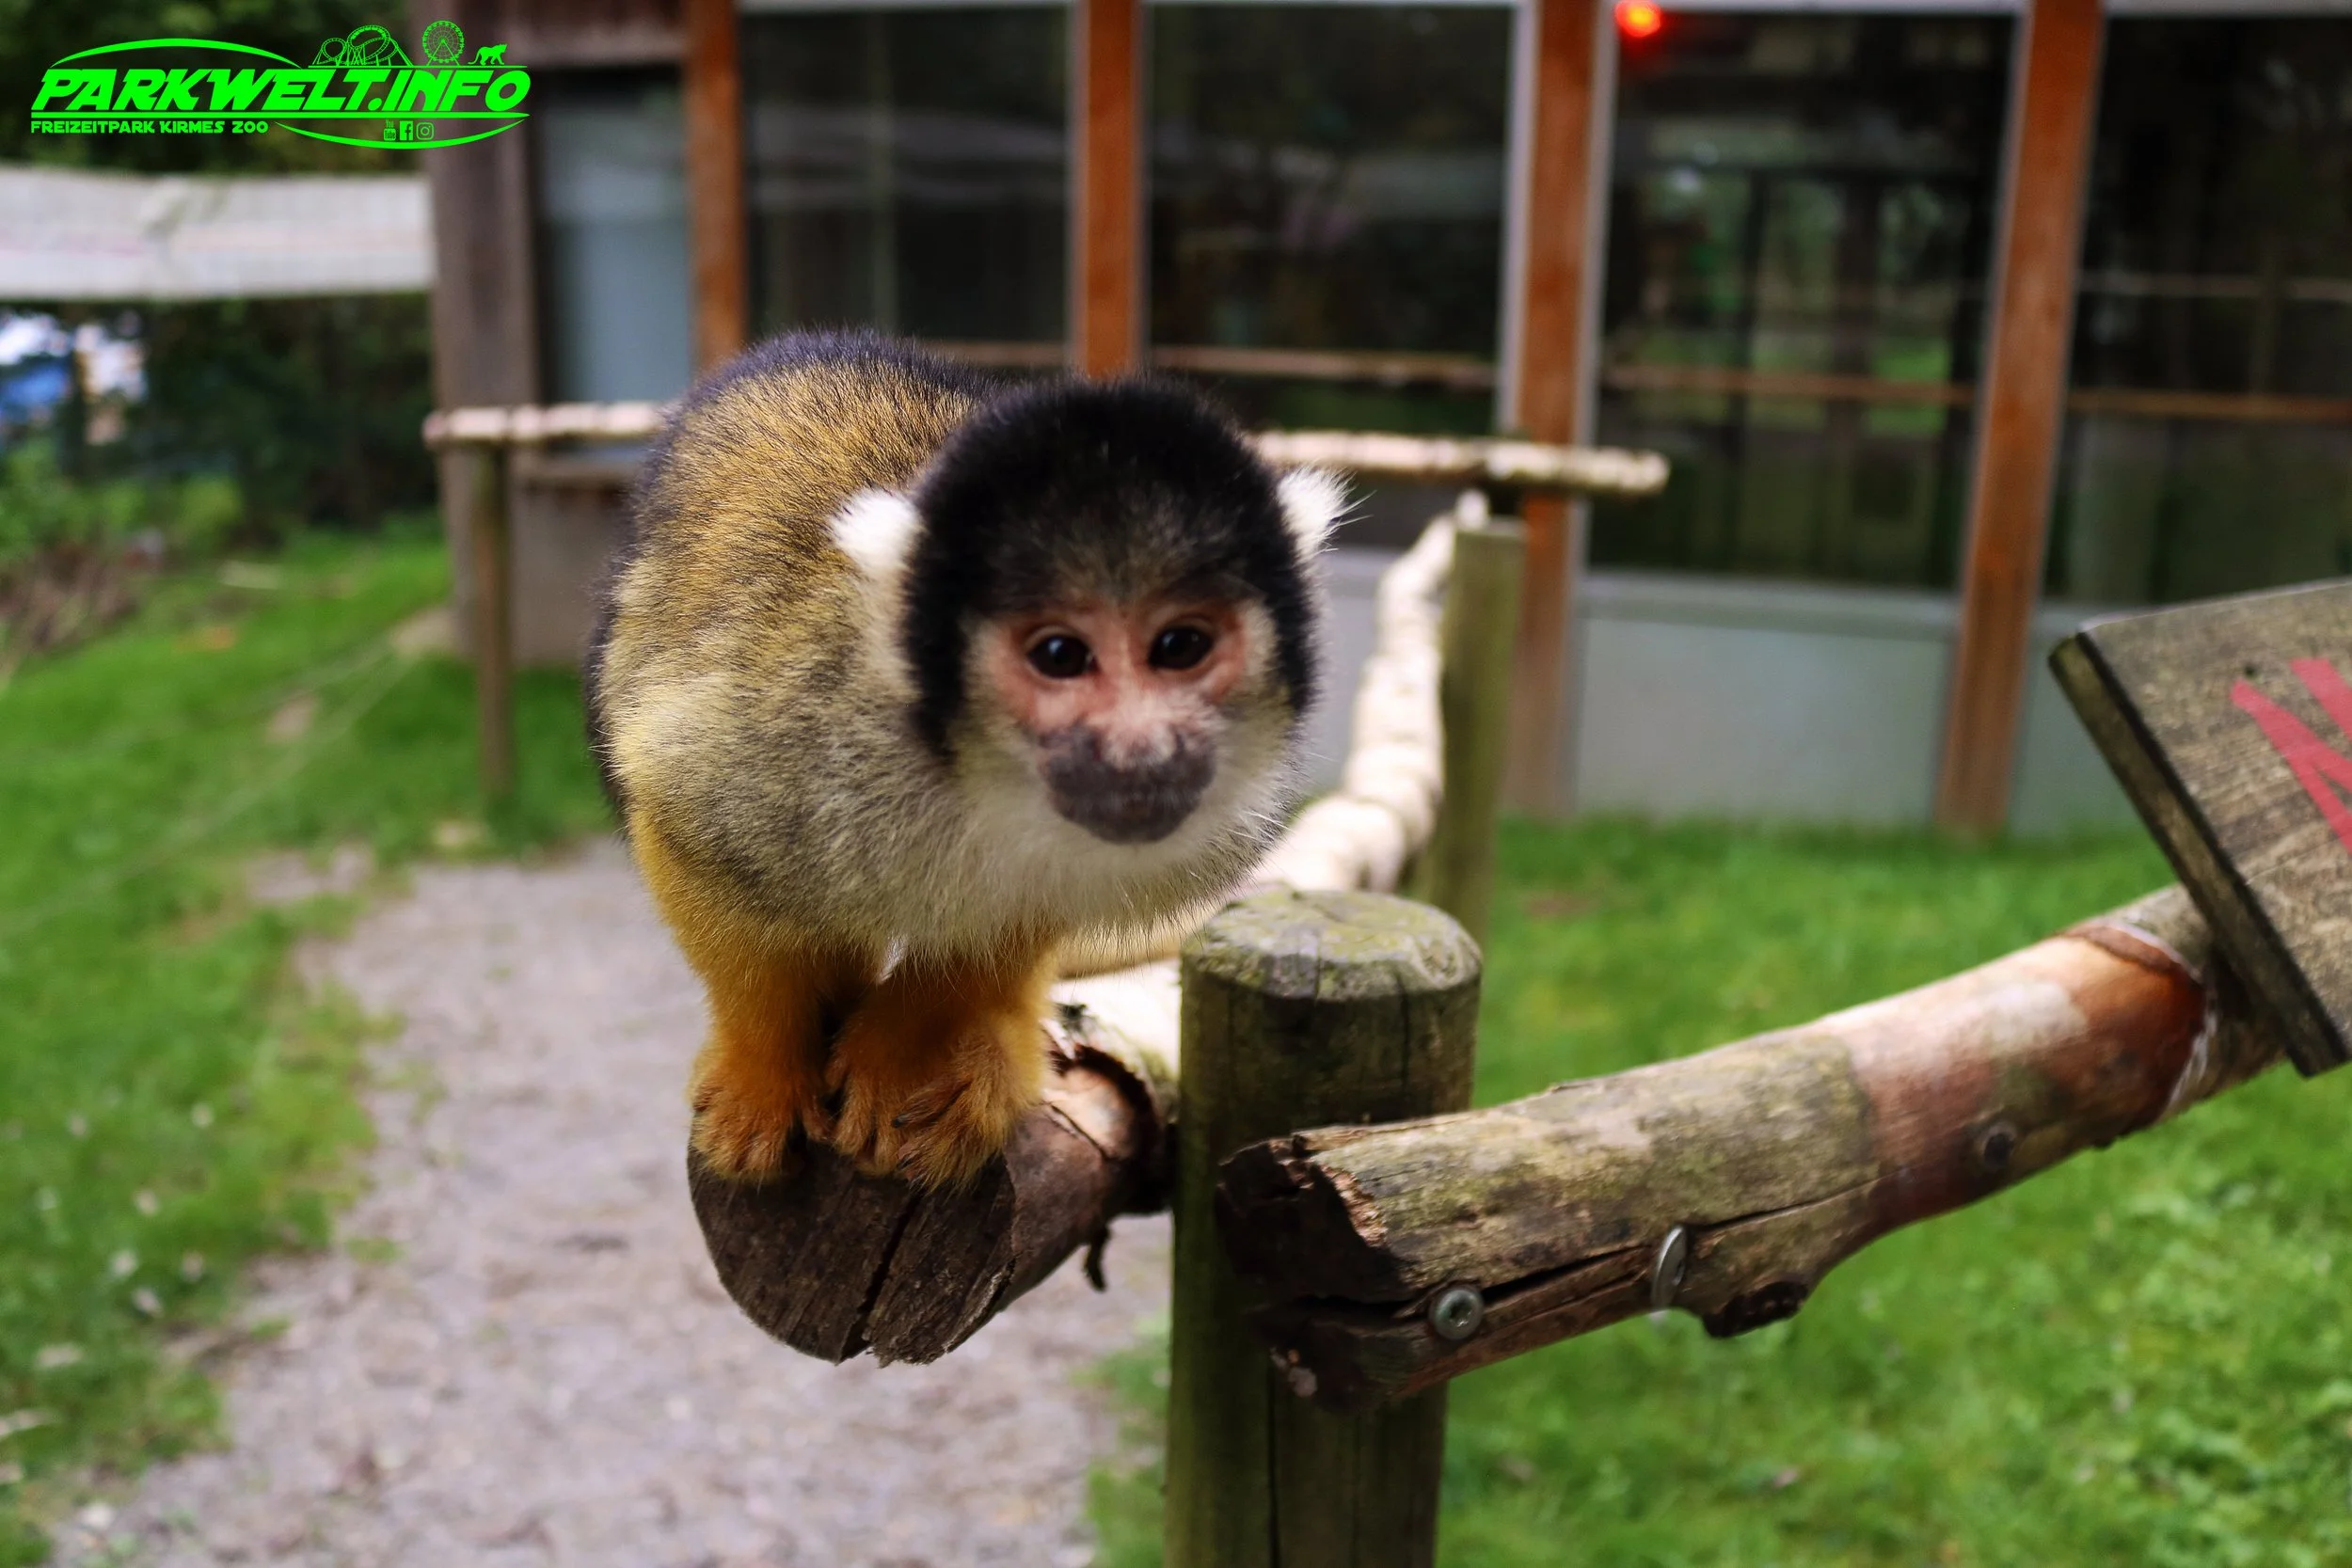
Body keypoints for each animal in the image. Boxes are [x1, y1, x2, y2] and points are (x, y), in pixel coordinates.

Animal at [587, 331, 1341, 1189]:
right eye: (1059, 655)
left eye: (1181, 646)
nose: (1140, 748)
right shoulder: (800, 735)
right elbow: (690, 830)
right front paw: (764, 1062)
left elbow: (1011, 911)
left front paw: (907, 1037)